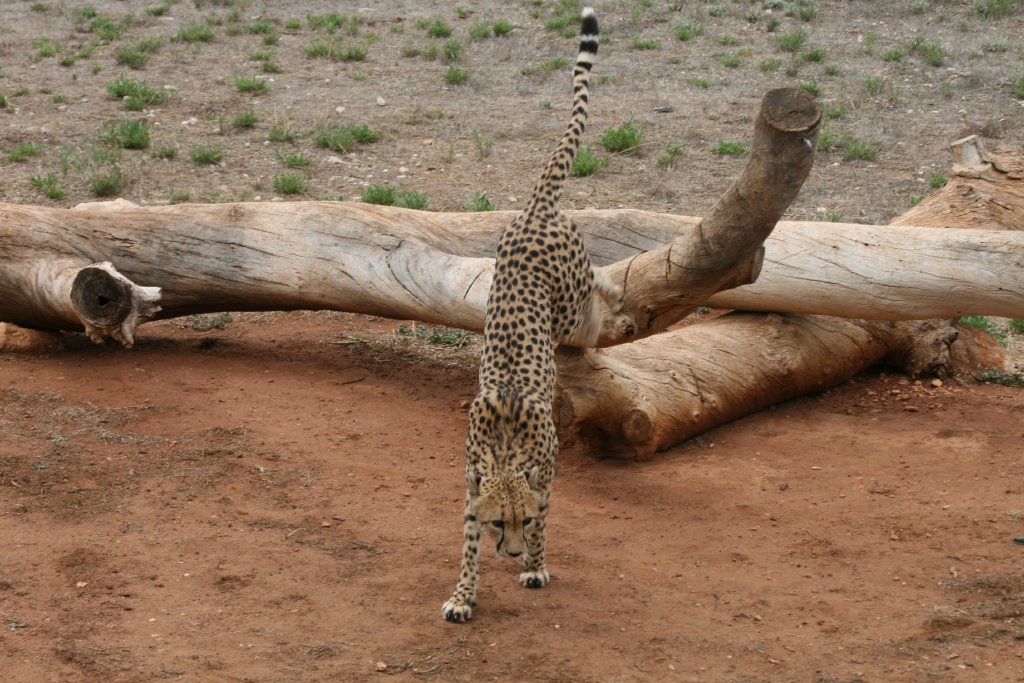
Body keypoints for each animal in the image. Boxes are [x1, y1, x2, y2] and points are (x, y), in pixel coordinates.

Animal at [442, 6, 623, 623]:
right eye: (500, 522)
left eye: (519, 522)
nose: (512, 549)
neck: (504, 448)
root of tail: (535, 209)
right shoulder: (470, 487)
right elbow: (465, 545)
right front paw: (463, 595)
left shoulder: (547, 475)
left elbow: (549, 516)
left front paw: (536, 566)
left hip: (567, 302)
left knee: (592, 298)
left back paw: (609, 310)